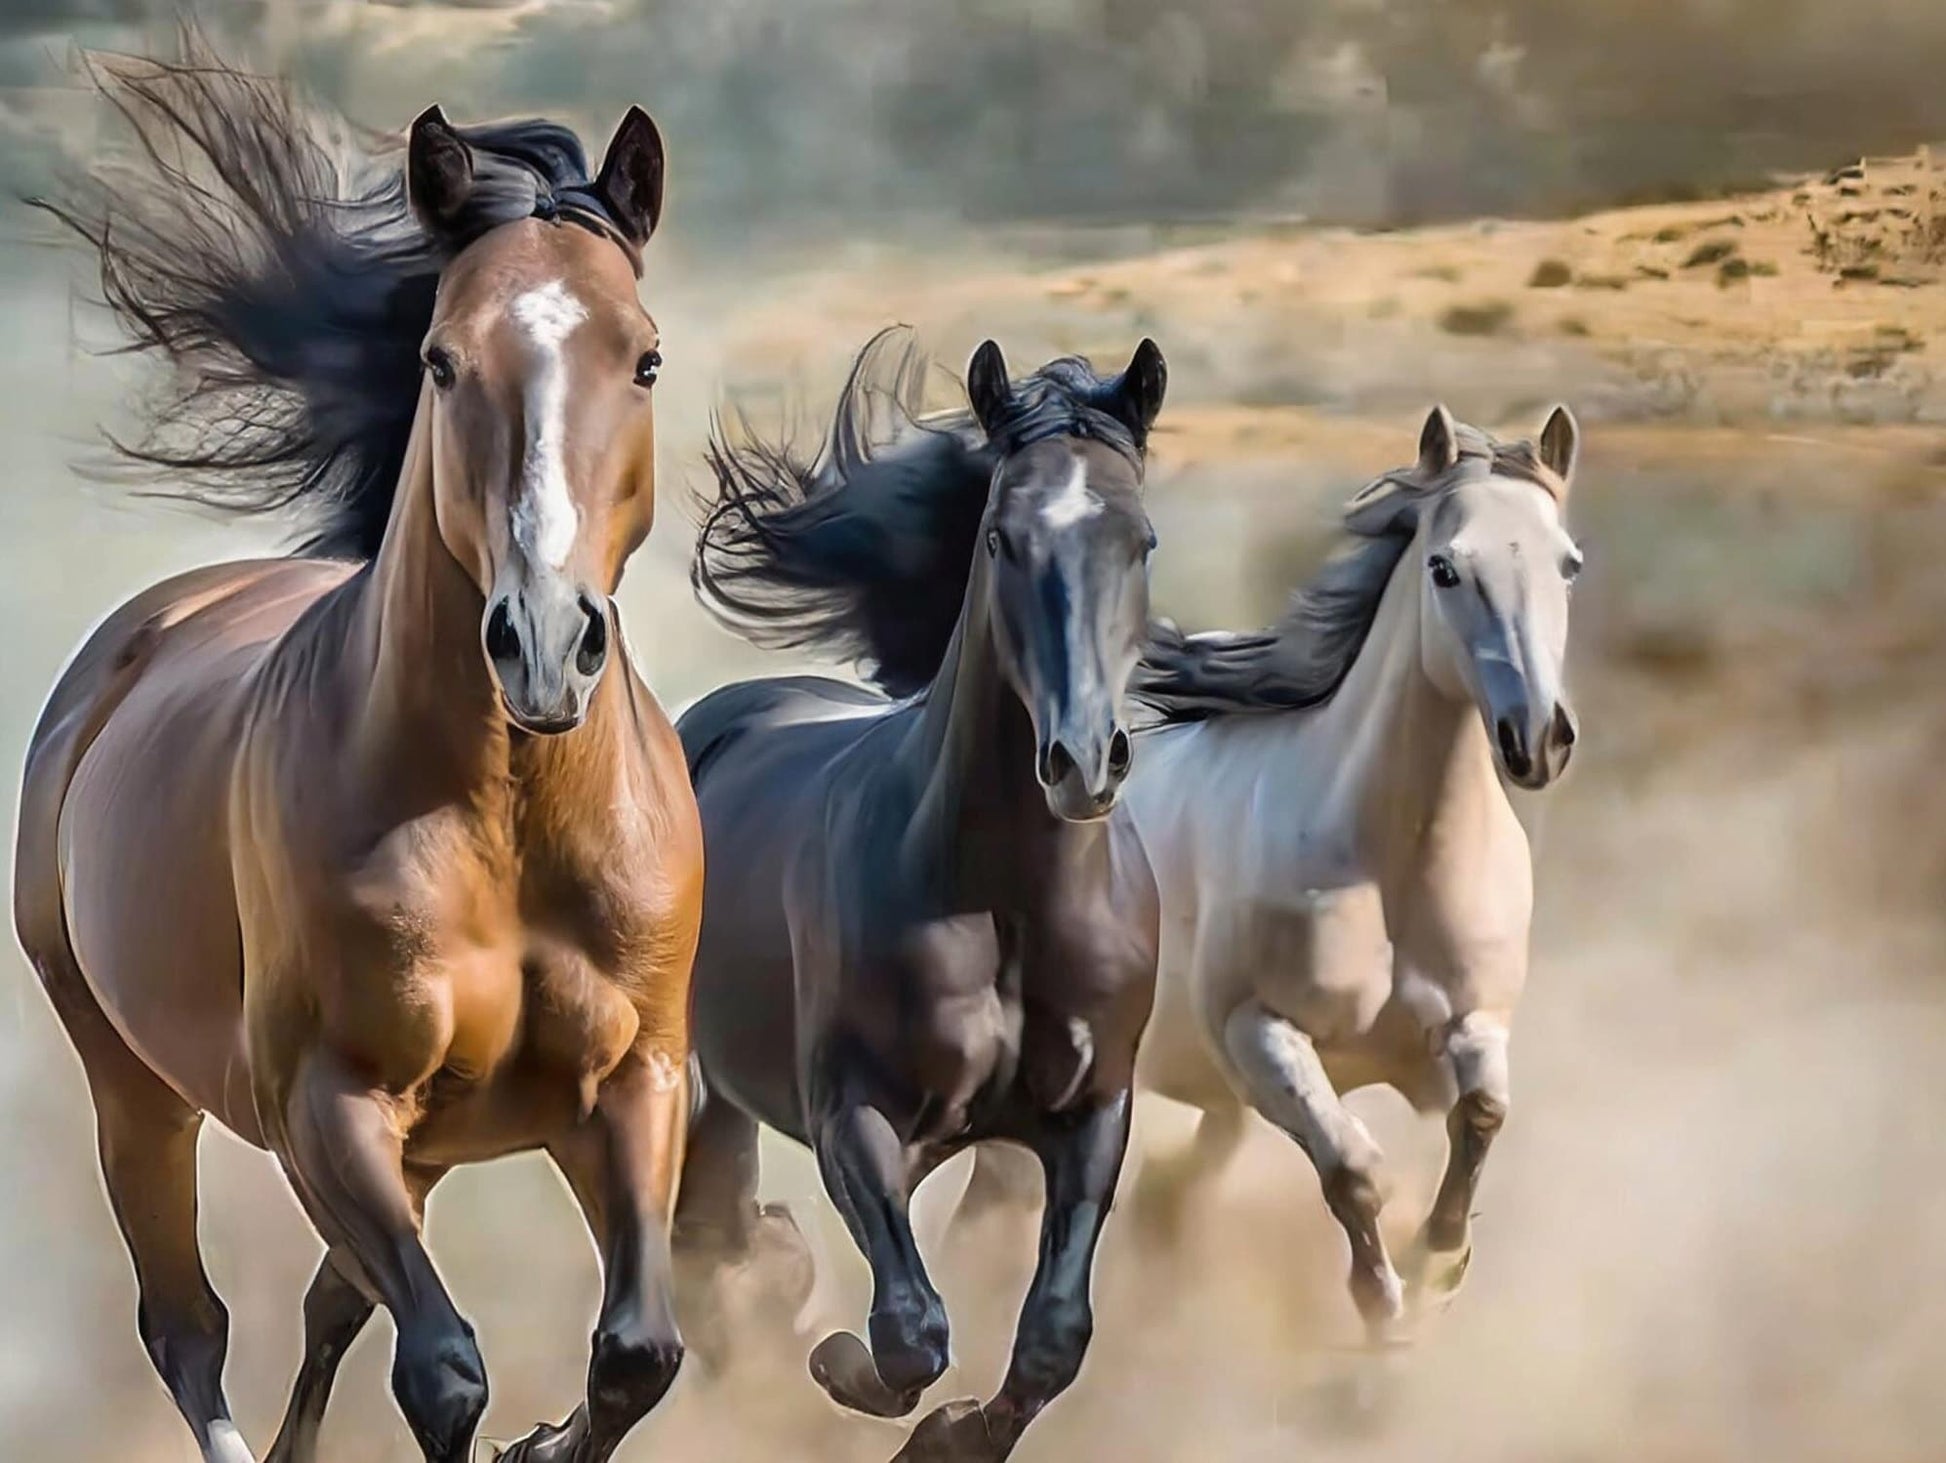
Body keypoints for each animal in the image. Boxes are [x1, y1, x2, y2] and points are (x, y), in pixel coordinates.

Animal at [13, 53, 701, 1463]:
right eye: (442, 358)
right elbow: (442, 1370)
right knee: (190, 1326)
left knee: (328, 1305)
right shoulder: (326, 1104)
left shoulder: (632, 1083)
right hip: (132, 1083)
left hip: (425, 1143)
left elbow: (634, 1353)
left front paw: (547, 1438)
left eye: (645, 356)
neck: (507, 815)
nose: (542, 643)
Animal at [673, 330, 1167, 1460]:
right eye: (1001, 539)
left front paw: (952, 1433)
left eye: (1140, 539)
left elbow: (1052, 1333)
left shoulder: (1088, 1113)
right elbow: (908, 1331)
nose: (1081, 760)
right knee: (703, 1249)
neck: (1006, 901)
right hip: (701, 1089)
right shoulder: (851, 1114)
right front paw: (831, 1357)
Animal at [1104, 404, 1584, 1349]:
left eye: (1568, 564)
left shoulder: (1469, 1024)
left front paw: (1439, 1259)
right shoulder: (1260, 1036)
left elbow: (1481, 1114)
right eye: (1445, 567)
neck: (1389, 862)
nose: (1539, 737)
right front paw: (1385, 1310)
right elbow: (1353, 1165)